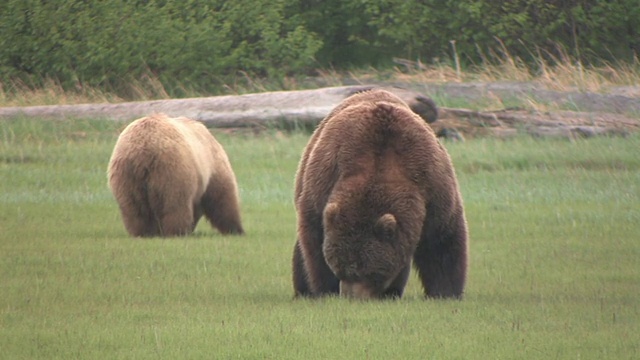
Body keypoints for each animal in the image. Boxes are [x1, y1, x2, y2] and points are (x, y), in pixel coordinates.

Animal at [107, 112, 242, 236]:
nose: (193, 227)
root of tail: (143, 151)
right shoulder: (212, 164)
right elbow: (222, 196)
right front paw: (235, 229)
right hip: (172, 170)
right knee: (175, 204)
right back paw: (177, 232)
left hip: (126, 175)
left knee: (134, 209)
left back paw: (143, 232)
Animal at [292, 88, 468, 300]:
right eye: (340, 267)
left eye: (369, 271)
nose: (351, 297)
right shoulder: (325, 181)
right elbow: (313, 244)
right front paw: (325, 290)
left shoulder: (433, 184)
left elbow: (441, 239)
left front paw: (445, 293)